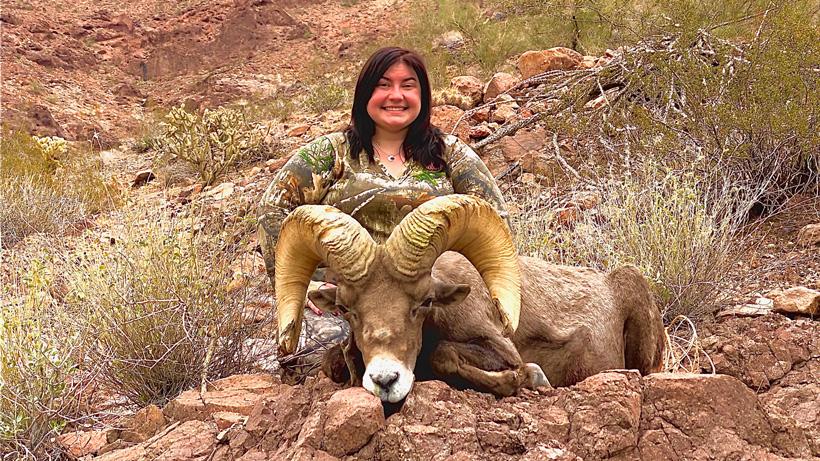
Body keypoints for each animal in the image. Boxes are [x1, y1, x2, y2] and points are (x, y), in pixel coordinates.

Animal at [271, 195, 665, 402]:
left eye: (424, 302)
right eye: (346, 309)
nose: (386, 380)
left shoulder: (499, 349)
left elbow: (444, 353)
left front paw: (531, 377)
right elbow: (332, 361)